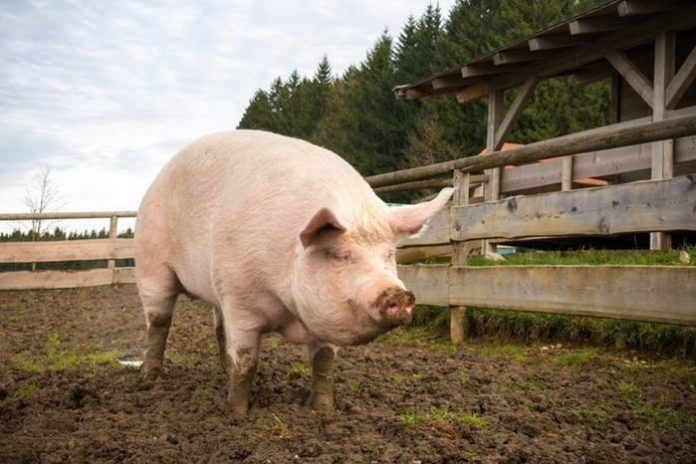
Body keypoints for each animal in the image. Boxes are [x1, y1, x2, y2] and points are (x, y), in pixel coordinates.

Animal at [135, 130, 453, 417]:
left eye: (389, 255)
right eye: (342, 256)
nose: (397, 293)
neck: (287, 309)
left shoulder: (324, 322)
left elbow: (324, 362)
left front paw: (323, 411)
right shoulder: (240, 300)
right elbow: (246, 361)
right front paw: (235, 415)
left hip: (215, 289)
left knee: (218, 329)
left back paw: (219, 372)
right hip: (151, 264)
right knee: (159, 322)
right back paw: (150, 380)